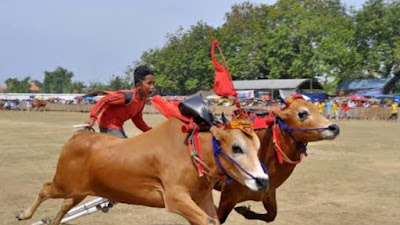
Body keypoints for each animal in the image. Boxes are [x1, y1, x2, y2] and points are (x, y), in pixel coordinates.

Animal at [18, 117, 268, 224]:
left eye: (258, 146)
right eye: (236, 147)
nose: (263, 180)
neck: (193, 152)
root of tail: (78, 135)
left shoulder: (202, 199)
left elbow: (212, 221)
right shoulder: (175, 198)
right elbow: (207, 221)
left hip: (78, 191)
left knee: (65, 205)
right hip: (63, 184)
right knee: (44, 189)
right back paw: (24, 215)